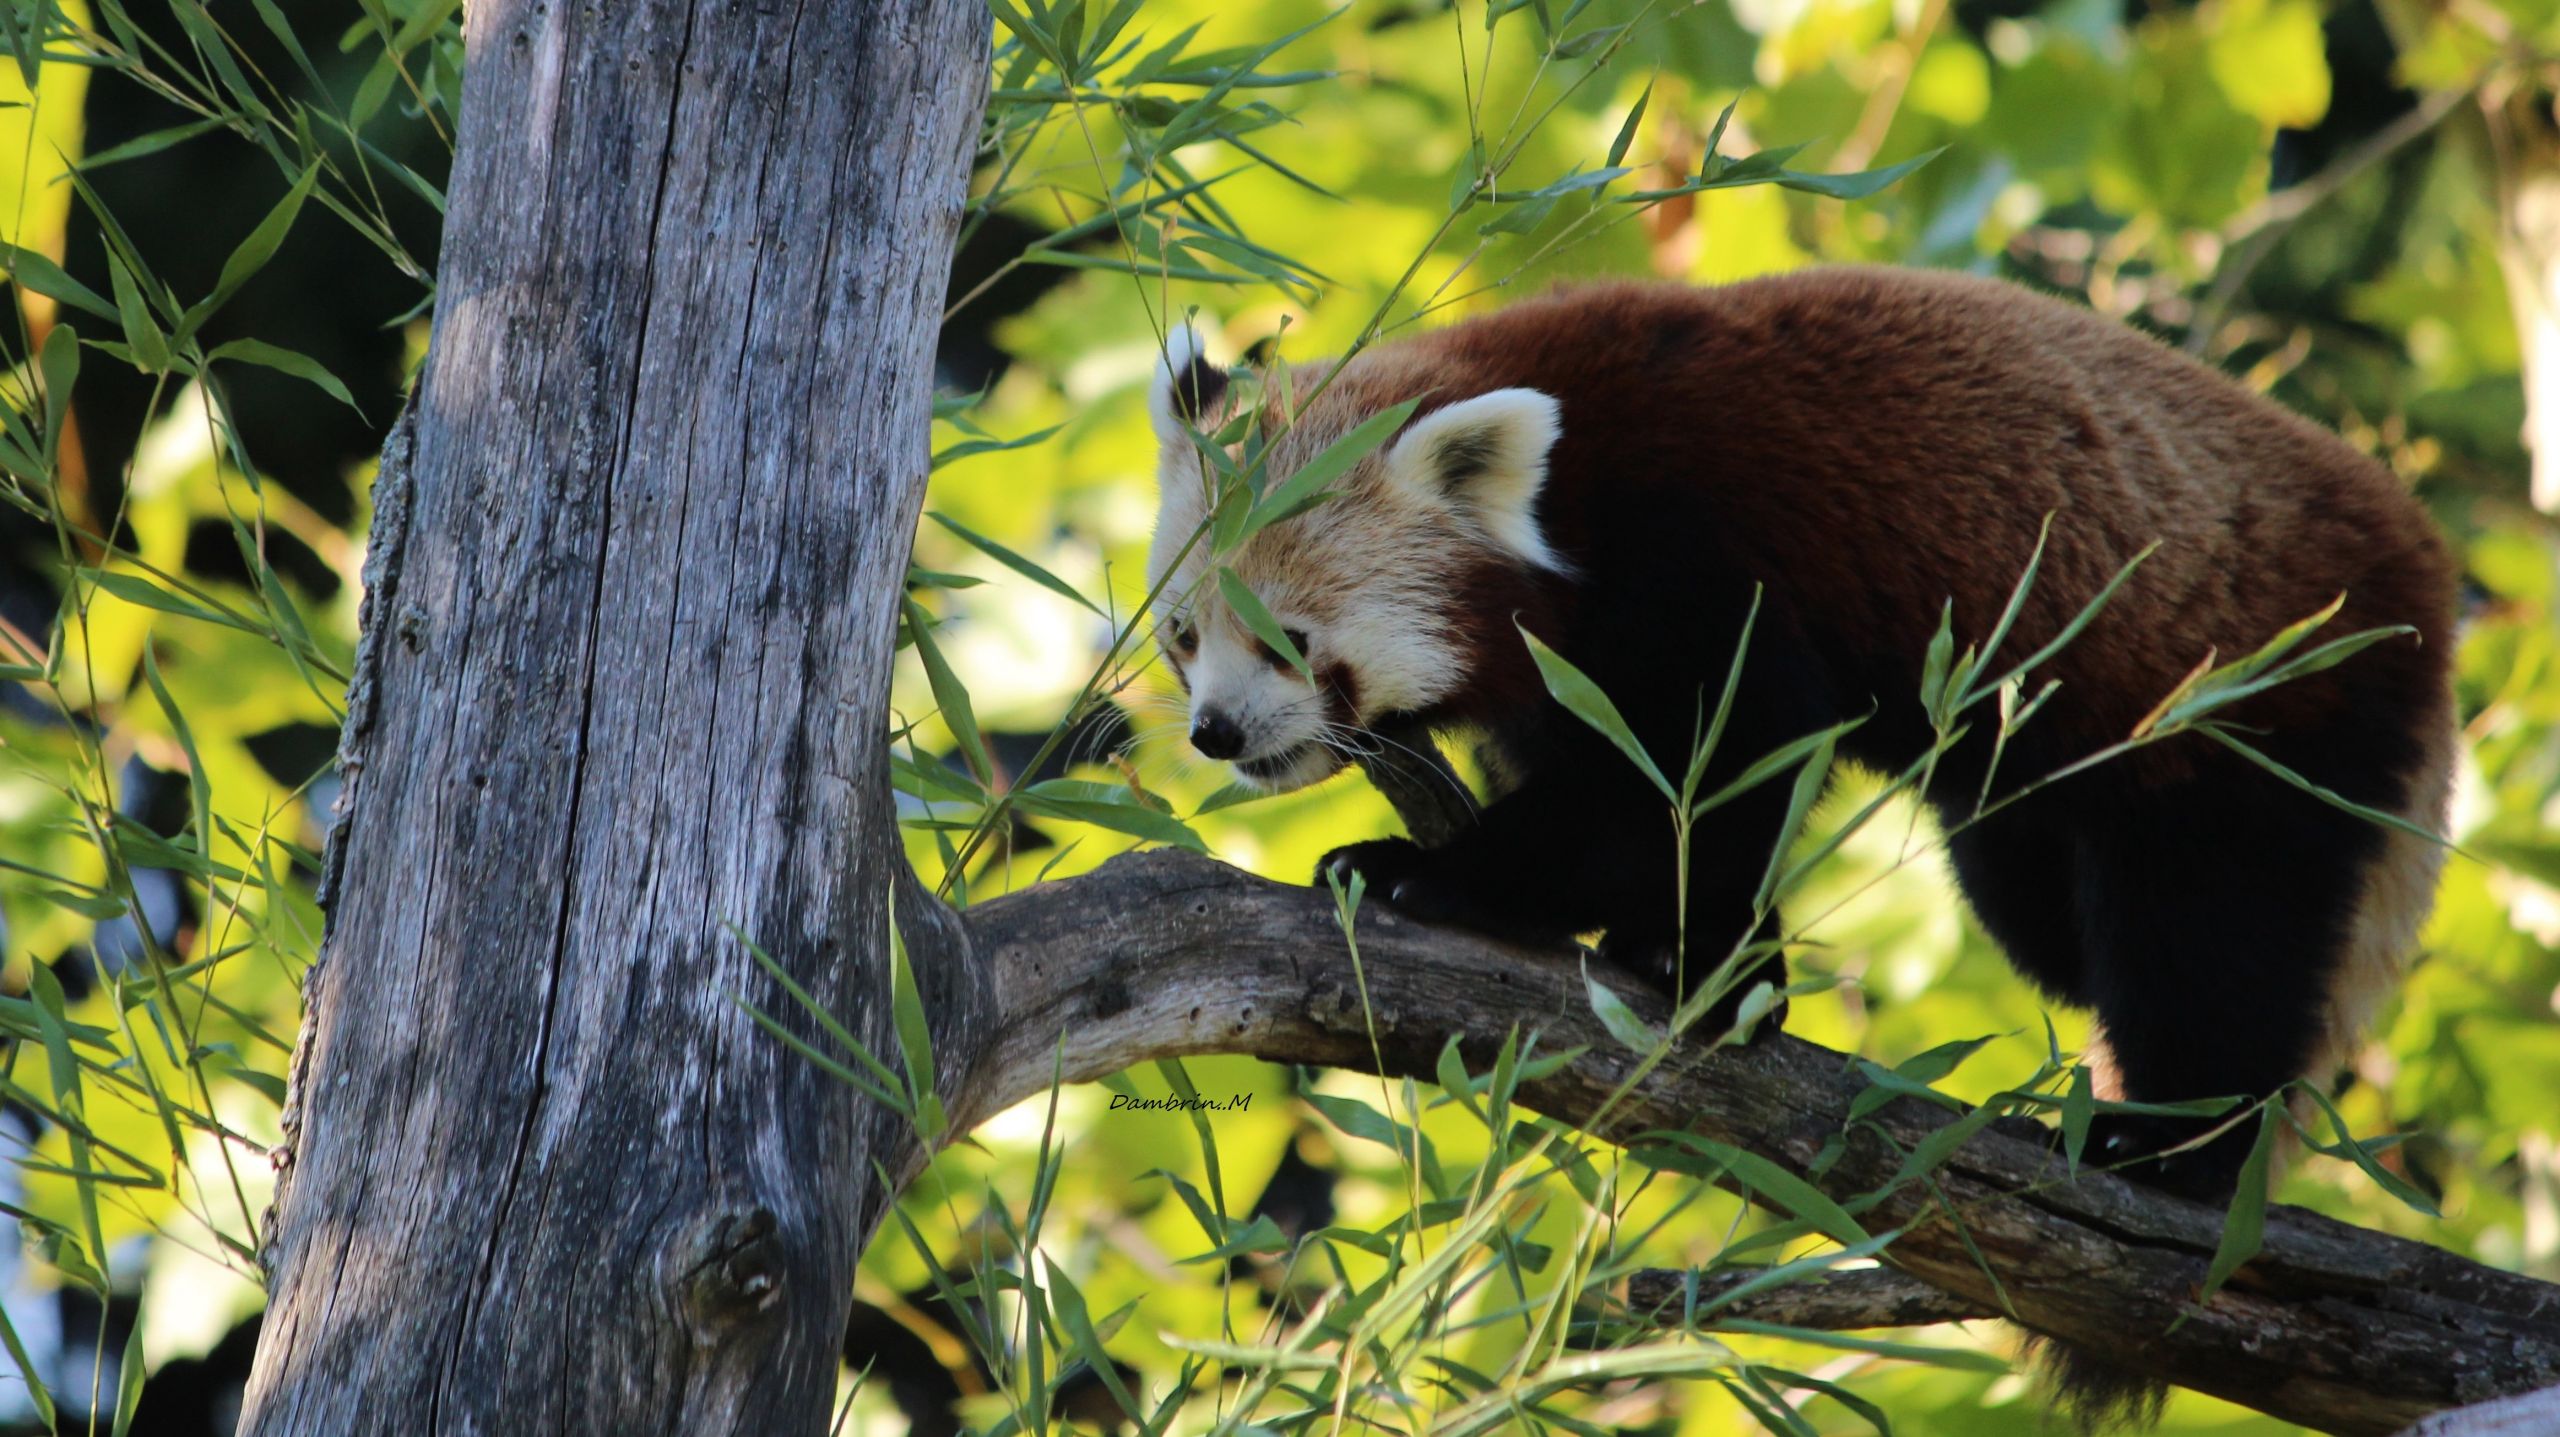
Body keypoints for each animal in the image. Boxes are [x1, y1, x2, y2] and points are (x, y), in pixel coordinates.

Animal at [1146, 266, 2457, 1198]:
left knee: (2212, 936)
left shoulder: (1696, 561)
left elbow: (1700, 777)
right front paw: (1711, 956)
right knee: (2058, 918)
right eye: (1180, 636)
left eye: (1289, 640)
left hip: (2252, 703)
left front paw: (1426, 871)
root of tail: (2423, 571)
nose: (1216, 734)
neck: (1564, 494)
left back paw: (2170, 1152)